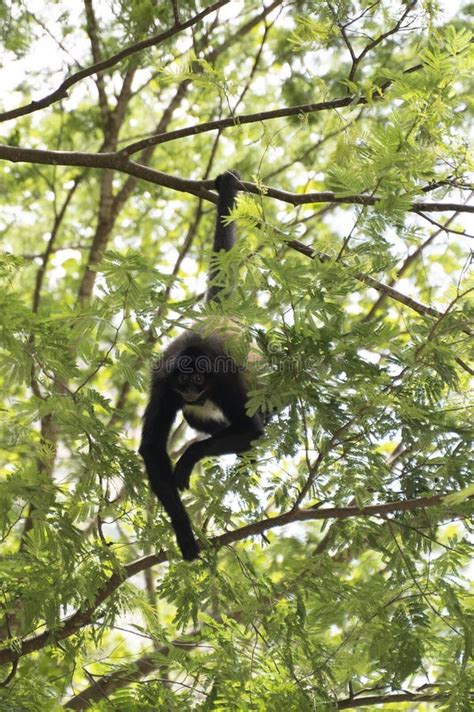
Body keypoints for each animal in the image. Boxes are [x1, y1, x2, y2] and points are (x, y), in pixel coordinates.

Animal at [141, 172, 266, 560]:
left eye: (198, 377)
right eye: (183, 381)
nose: (192, 391)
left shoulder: (224, 380)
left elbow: (251, 430)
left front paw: (188, 458)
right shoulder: (163, 383)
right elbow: (152, 449)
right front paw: (183, 531)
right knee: (196, 417)